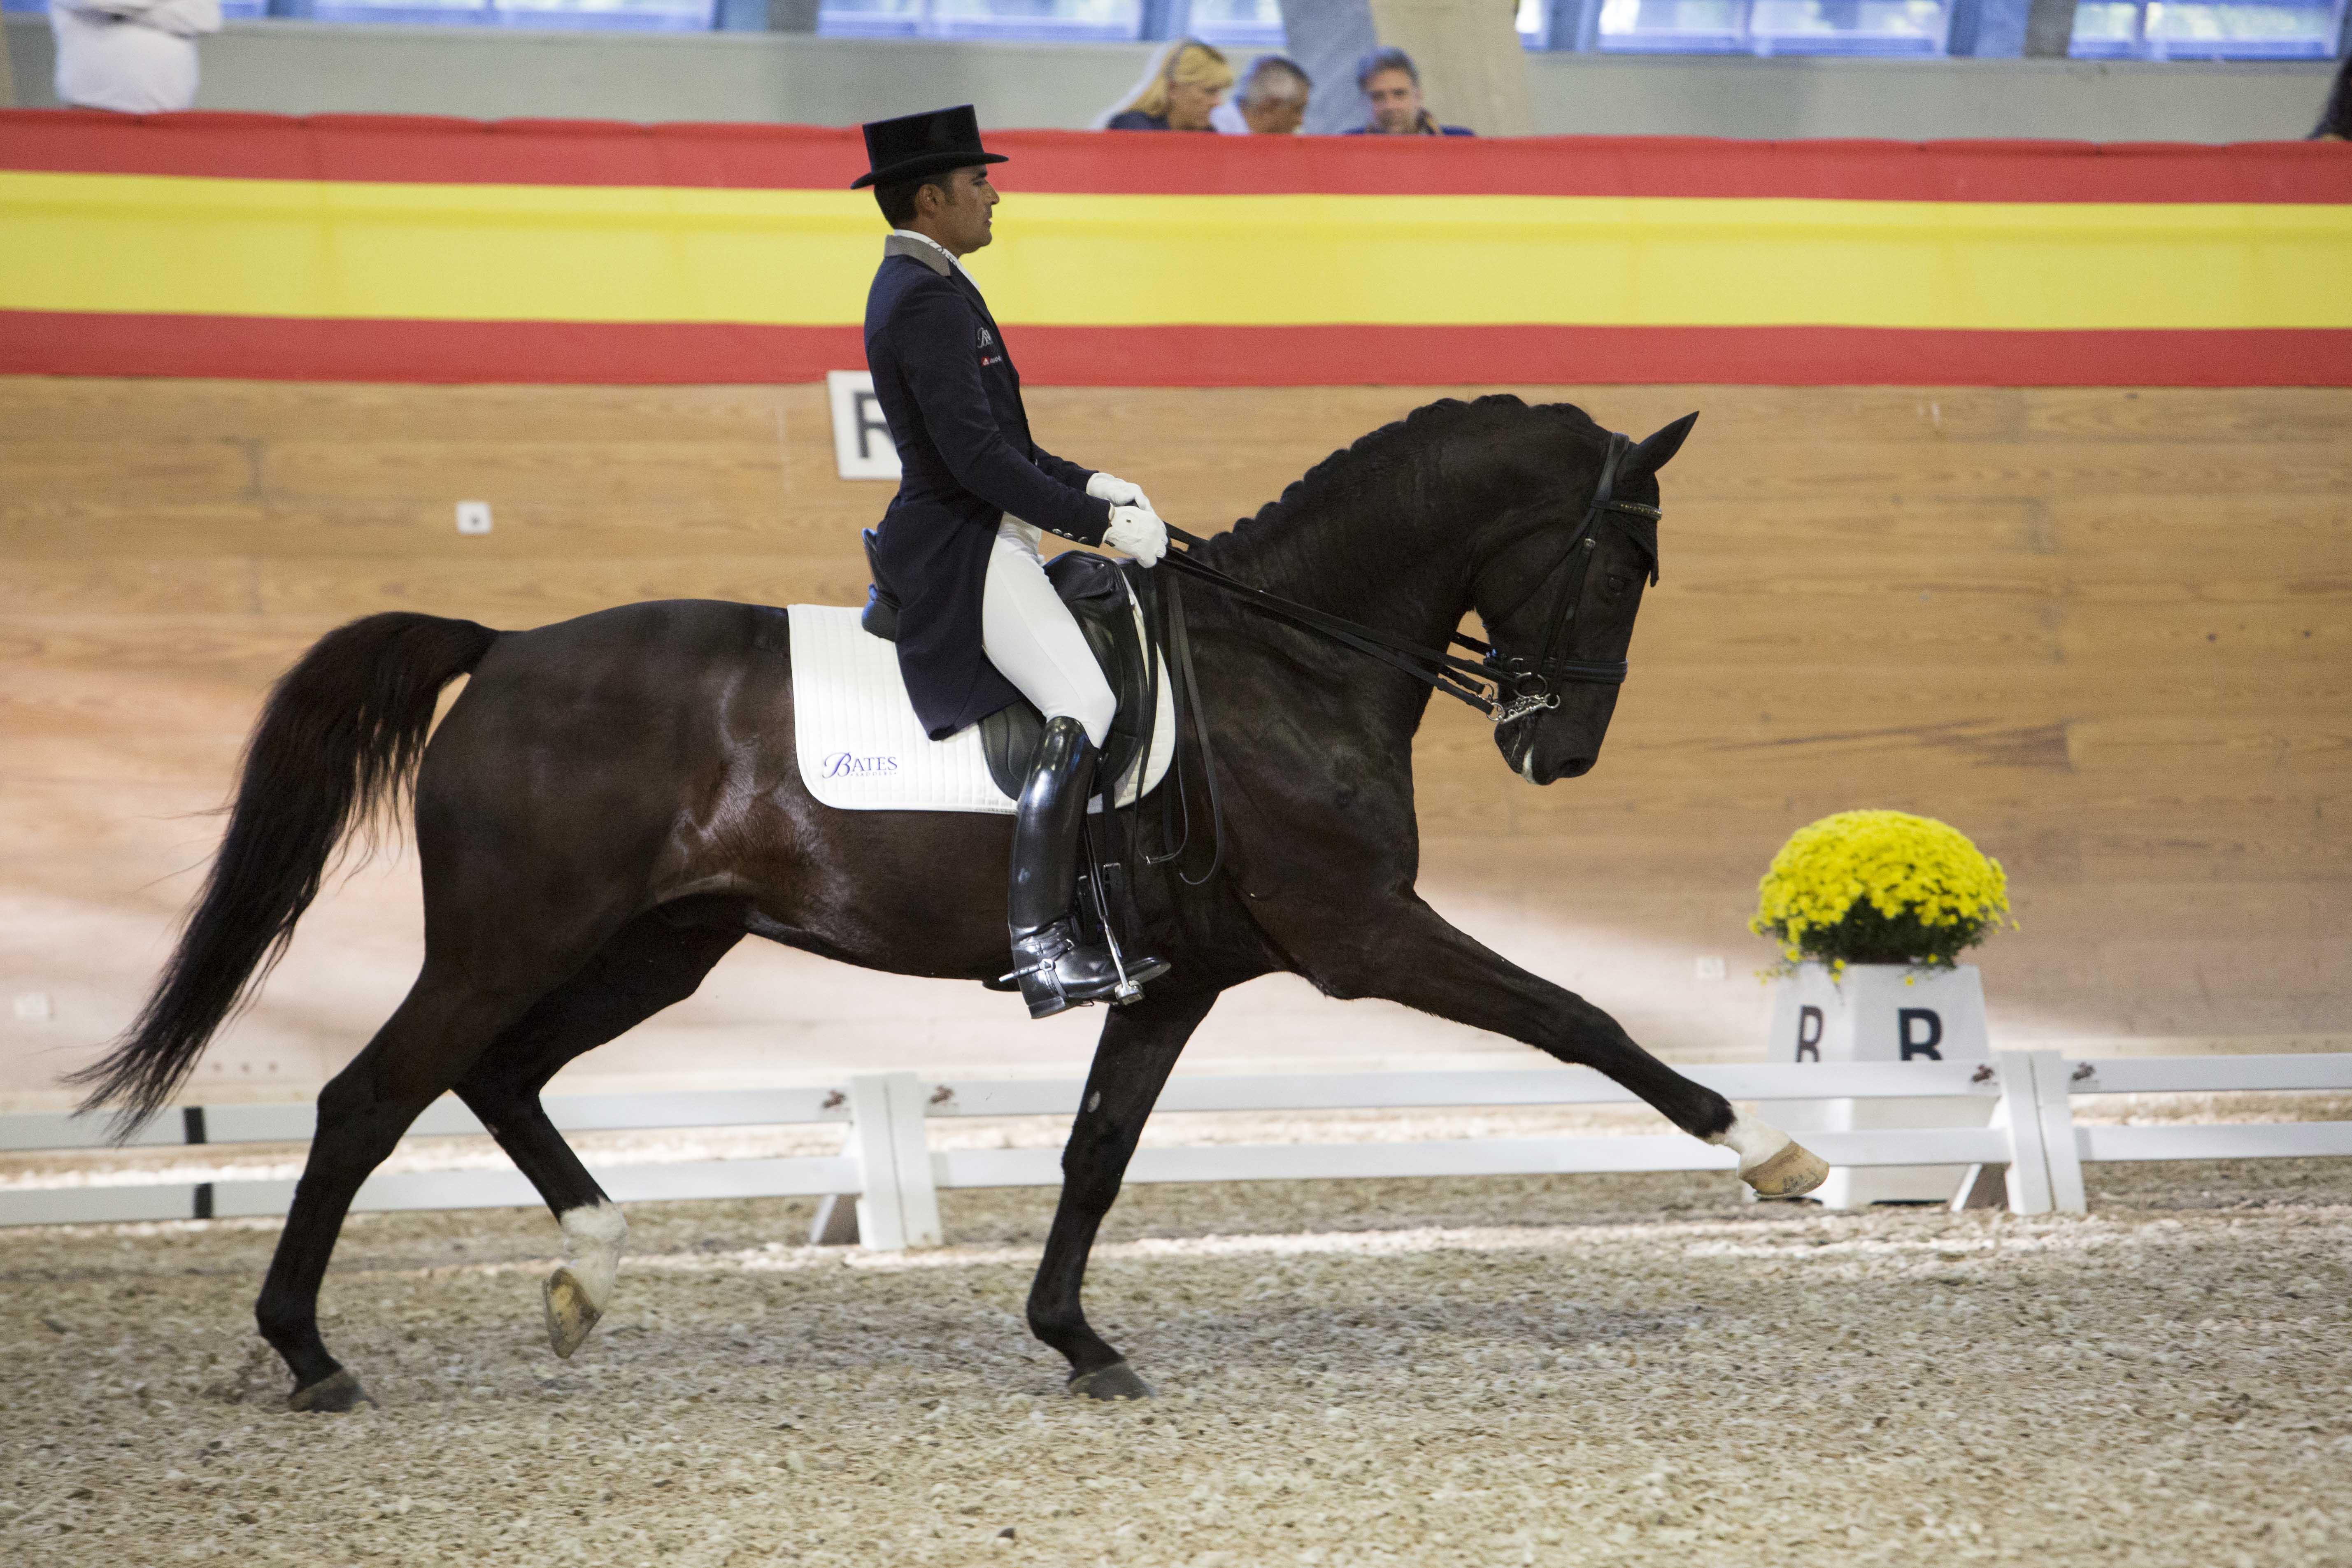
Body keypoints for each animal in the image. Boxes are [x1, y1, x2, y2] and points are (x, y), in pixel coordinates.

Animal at [73, 392, 1825, 1410]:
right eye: (1622, 567)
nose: (1559, 751)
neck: (1290, 655)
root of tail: (501, 651)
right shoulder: (1360, 936)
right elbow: (1579, 1016)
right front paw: (1769, 1151)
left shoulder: (1185, 974)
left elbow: (1098, 1151)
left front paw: (1074, 1338)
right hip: (520, 933)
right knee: (372, 1097)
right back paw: (311, 1353)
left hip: (658, 946)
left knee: (495, 1076)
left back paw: (587, 1267)